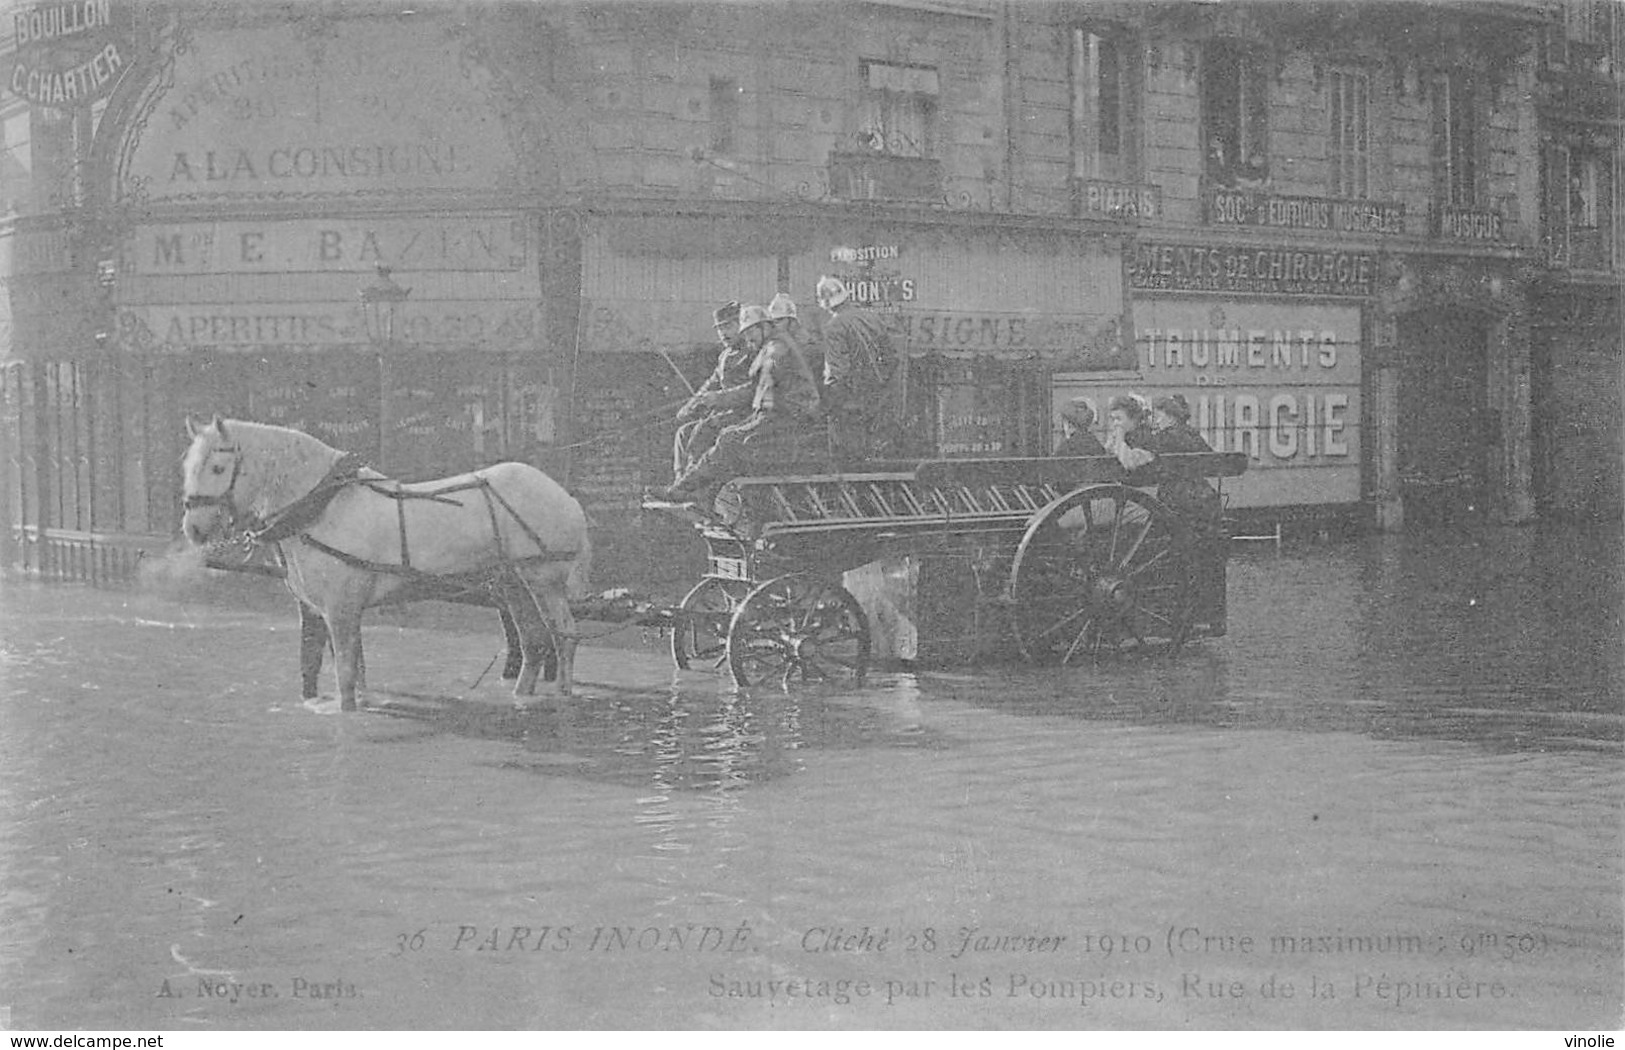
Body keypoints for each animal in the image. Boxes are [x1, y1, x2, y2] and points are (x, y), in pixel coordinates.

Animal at [181, 416, 594, 711]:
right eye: (187, 466)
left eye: (217, 468)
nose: (194, 529)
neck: (324, 508)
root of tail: (566, 497)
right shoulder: (332, 611)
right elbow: (355, 669)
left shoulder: (340, 610)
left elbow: (347, 675)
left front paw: (349, 711)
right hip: (512, 583)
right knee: (534, 640)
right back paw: (521, 696)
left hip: (544, 580)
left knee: (565, 634)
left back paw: (564, 691)